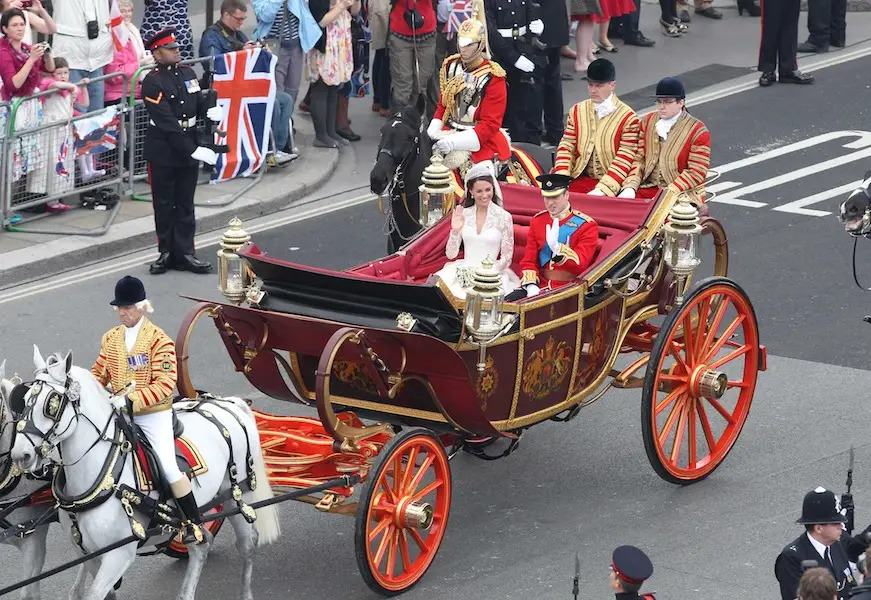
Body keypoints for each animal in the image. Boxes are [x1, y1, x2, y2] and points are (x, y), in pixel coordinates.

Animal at [11, 346, 282, 600]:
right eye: (23, 401)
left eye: (52, 403)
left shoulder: (118, 555)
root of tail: (226, 403)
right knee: (201, 544)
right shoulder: (88, 554)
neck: (106, 478)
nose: (20, 455)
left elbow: (94, 594)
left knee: (247, 543)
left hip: (235, 496)